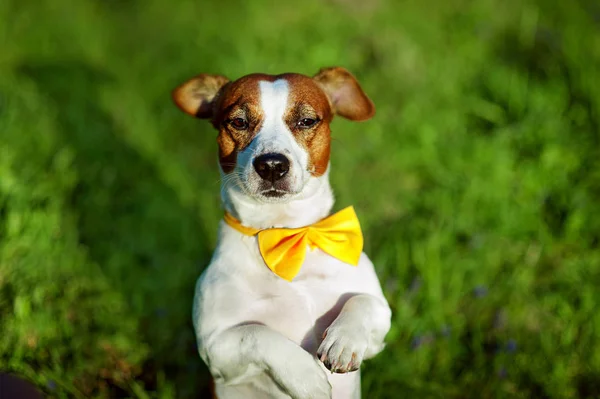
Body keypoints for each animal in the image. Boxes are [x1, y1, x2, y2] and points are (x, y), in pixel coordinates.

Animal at [171, 67, 392, 398]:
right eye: (239, 122)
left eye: (306, 121)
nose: (272, 164)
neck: (284, 234)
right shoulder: (216, 346)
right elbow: (257, 333)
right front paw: (305, 376)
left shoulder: (381, 318)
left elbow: (362, 302)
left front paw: (344, 340)